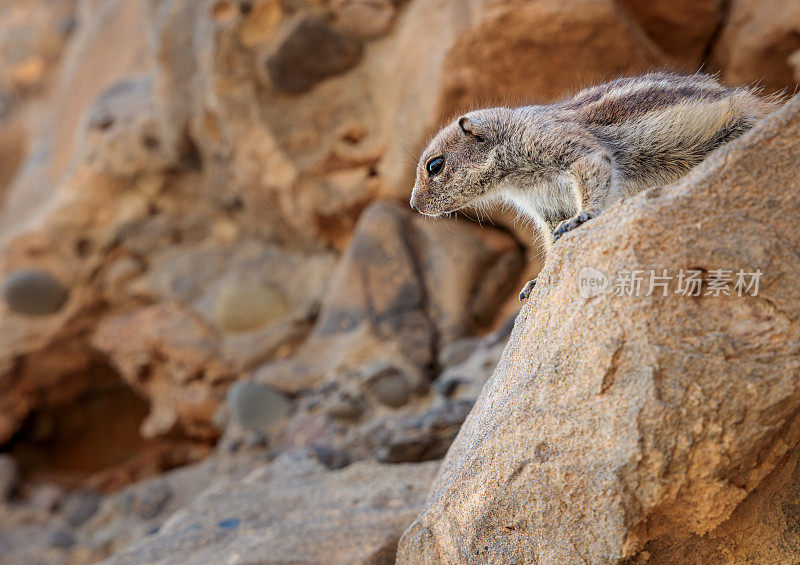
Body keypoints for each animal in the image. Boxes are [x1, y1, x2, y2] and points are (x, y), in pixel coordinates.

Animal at [412, 74, 780, 300]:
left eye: (435, 165)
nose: (415, 205)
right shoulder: (546, 207)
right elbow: (550, 243)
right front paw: (536, 281)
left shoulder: (564, 144)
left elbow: (592, 170)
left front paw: (582, 217)